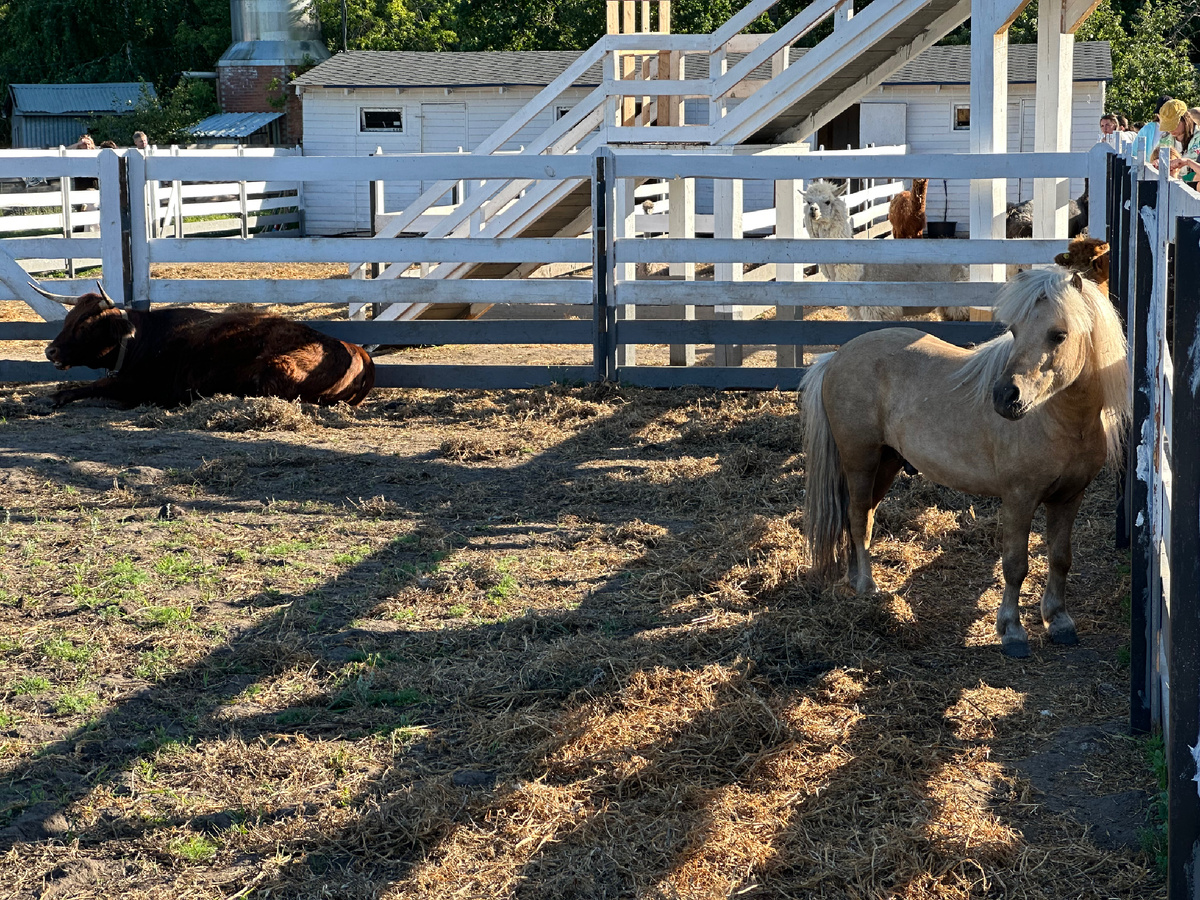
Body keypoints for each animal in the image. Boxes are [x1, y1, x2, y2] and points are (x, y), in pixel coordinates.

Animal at [39, 285, 372, 408]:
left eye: (86, 326)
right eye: (68, 318)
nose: (49, 351)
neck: (145, 338)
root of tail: (358, 352)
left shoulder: (140, 385)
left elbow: (96, 385)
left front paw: (58, 395)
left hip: (275, 368)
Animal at [801, 267, 1128, 657]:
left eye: (1059, 334)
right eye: (1014, 330)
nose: (1005, 397)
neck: (1059, 420)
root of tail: (834, 358)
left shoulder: (1069, 498)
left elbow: (1060, 558)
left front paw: (1059, 621)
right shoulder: (1019, 499)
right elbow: (1015, 565)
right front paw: (1012, 631)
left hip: (885, 463)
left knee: (860, 516)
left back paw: (854, 578)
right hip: (860, 460)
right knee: (858, 519)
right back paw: (867, 585)